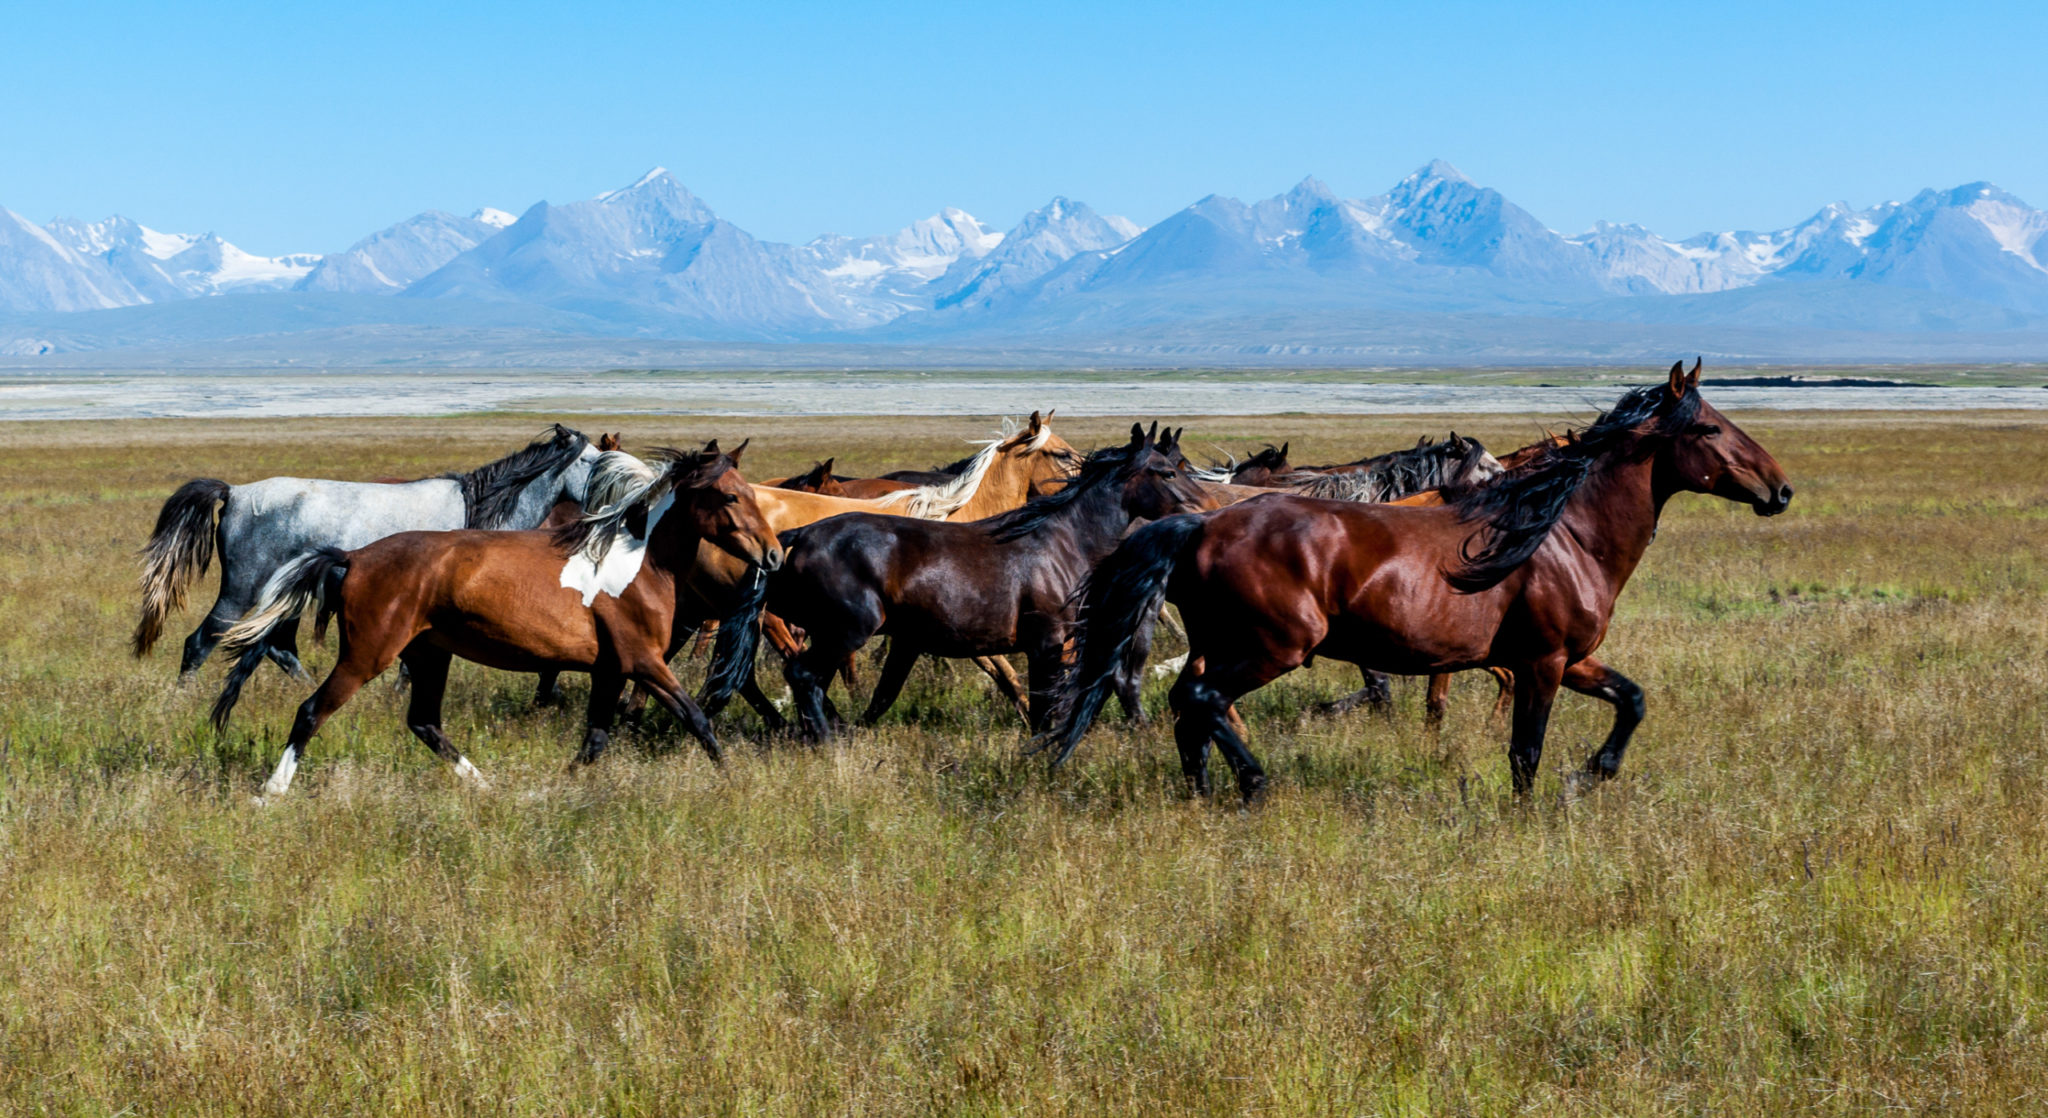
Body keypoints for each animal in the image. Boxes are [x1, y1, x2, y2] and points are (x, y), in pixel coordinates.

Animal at [216, 440, 774, 794]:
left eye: (752, 491)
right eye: (730, 495)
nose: (771, 555)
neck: (637, 560)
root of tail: (353, 557)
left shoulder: (612, 669)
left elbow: (595, 739)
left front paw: (559, 788)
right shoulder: (644, 663)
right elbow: (697, 719)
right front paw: (734, 783)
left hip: (429, 654)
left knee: (424, 722)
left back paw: (485, 786)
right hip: (367, 655)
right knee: (312, 711)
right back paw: (271, 793)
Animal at [757, 421, 1212, 737]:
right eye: (1167, 472)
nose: (1207, 510)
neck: (1061, 542)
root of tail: (799, 536)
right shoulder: (1046, 642)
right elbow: (1042, 704)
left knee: (807, 677)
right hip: (846, 631)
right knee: (802, 675)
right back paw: (827, 739)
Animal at [1040, 364, 1794, 802]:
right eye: (1709, 428)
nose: (1780, 490)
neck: (1562, 533)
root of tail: (1199, 524)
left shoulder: (1571, 659)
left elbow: (1631, 700)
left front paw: (1590, 776)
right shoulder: (1543, 662)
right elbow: (1525, 752)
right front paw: (1536, 811)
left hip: (1217, 642)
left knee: (1186, 706)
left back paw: (1200, 794)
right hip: (1273, 645)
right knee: (1202, 698)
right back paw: (1253, 785)